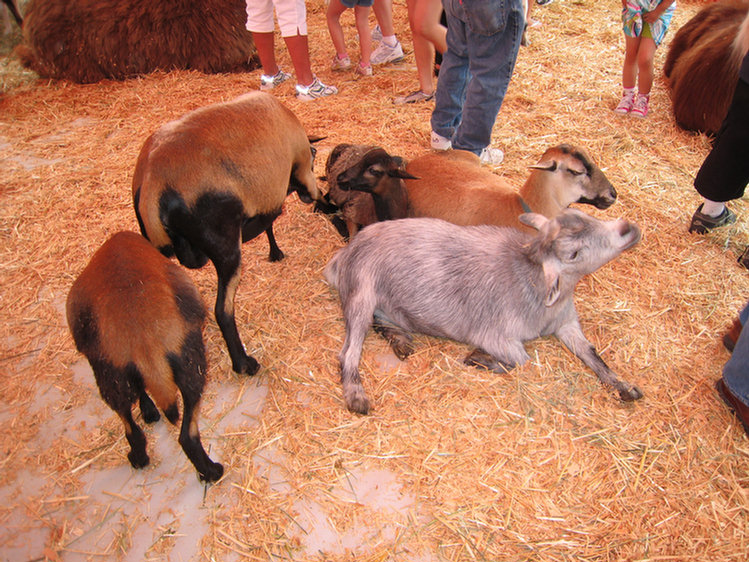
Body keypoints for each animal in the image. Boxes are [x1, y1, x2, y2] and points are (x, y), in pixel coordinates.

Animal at [67, 232, 222, 482]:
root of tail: (143, 340)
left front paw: (148, 411)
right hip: (191, 365)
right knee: (186, 434)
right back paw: (212, 472)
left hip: (112, 377)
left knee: (134, 429)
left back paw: (140, 458)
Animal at [134, 91, 322, 372]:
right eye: (315, 157)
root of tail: (152, 184)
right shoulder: (297, 170)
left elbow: (269, 222)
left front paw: (275, 252)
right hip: (225, 248)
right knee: (223, 311)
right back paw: (244, 364)